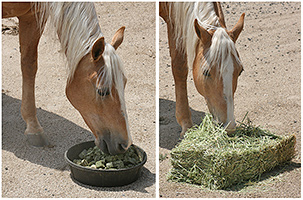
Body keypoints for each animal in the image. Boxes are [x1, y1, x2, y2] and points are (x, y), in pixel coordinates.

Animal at [2, 1, 133, 155]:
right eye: (102, 91)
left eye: (124, 83)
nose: (124, 145)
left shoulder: (33, 16)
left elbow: (29, 64)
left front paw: (33, 127)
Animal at [160, 1, 246, 136]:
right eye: (206, 72)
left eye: (240, 71)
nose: (229, 126)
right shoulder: (174, 22)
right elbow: (179, 67)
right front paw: (186, 124)